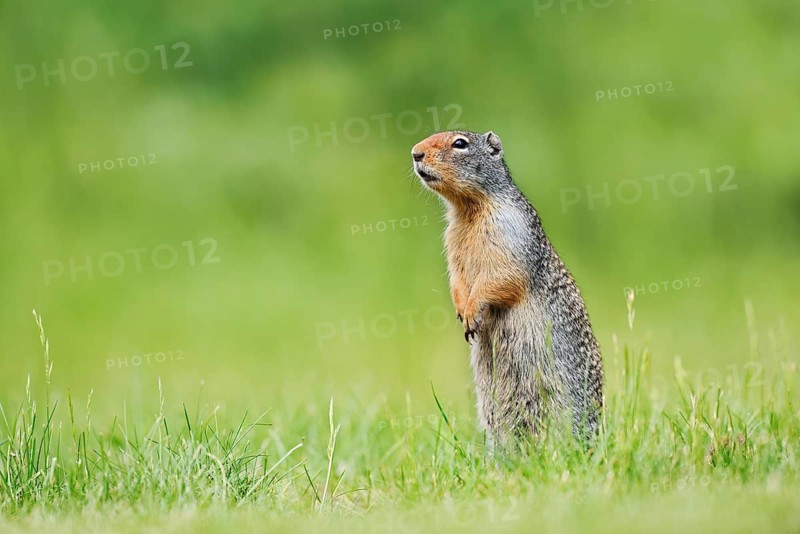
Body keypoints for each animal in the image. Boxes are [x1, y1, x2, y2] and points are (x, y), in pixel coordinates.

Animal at [411, 130, 604, 441]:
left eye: (460, 143)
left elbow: (502, 276)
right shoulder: (452, 242)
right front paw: (461, 308)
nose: (415, 152)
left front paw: (471, 312)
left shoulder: (507, 230)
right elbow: (457, 278)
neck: (468, 210)